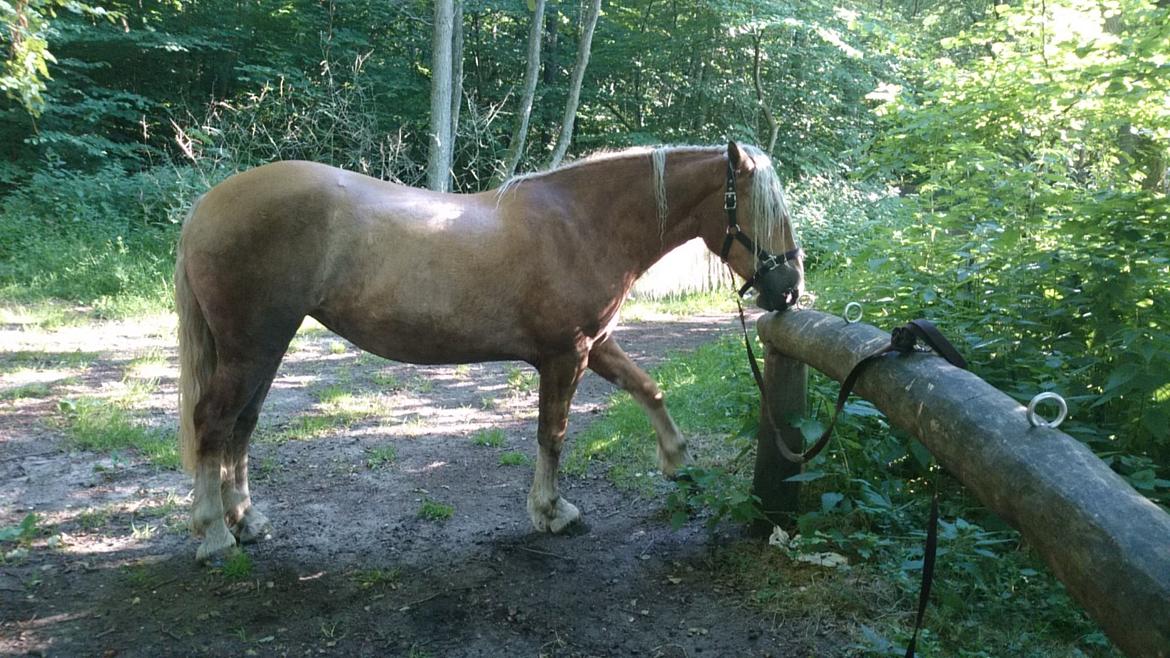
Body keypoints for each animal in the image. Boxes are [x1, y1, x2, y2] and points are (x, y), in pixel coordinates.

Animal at [173, 138, 804, 557]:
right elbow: (553, 434)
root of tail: (206, 206)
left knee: (242, 426)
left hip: (263, 348)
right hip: (252, 347)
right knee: (214, 423)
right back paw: (214, 534)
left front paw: (678, 461)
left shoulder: (594, 344)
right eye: (766, 212)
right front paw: (552, 512)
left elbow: (648, 388)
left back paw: (245, 521)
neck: (581, 226)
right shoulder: (565, 356)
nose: (789, 288)